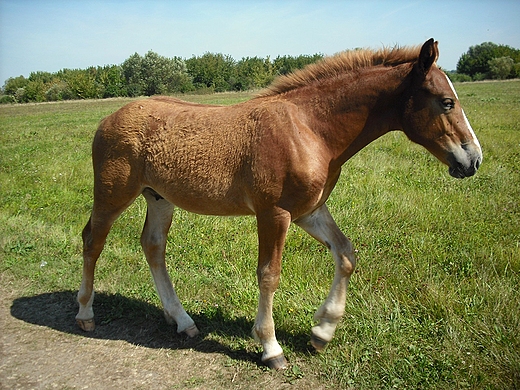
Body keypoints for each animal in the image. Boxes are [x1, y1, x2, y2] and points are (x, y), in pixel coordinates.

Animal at [76, 39, 484, 368]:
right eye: (446, 102)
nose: (473, 160)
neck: (308, 129)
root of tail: (108, 118)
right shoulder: (274, 214)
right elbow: (269, 275)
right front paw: (271, 348)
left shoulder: (308, 211)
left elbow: (346, 254)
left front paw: (322, 331)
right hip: (113, 194)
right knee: (92, 241)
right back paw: (85, 312)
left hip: (159, 198)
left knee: (153, 246)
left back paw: (182, 321)